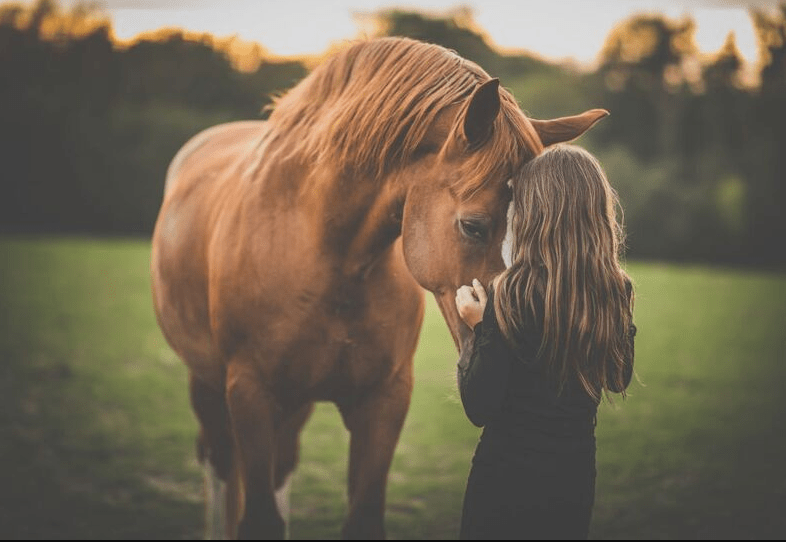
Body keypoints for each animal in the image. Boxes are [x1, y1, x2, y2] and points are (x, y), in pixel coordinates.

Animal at [152, 36, 608, 540]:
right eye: (473, 226)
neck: (322, 256)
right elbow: (259, 518)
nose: (527, 354)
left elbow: (362, 515)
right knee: (219, 467)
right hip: (209, 383)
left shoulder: (384, 400)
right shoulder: (251, 394)